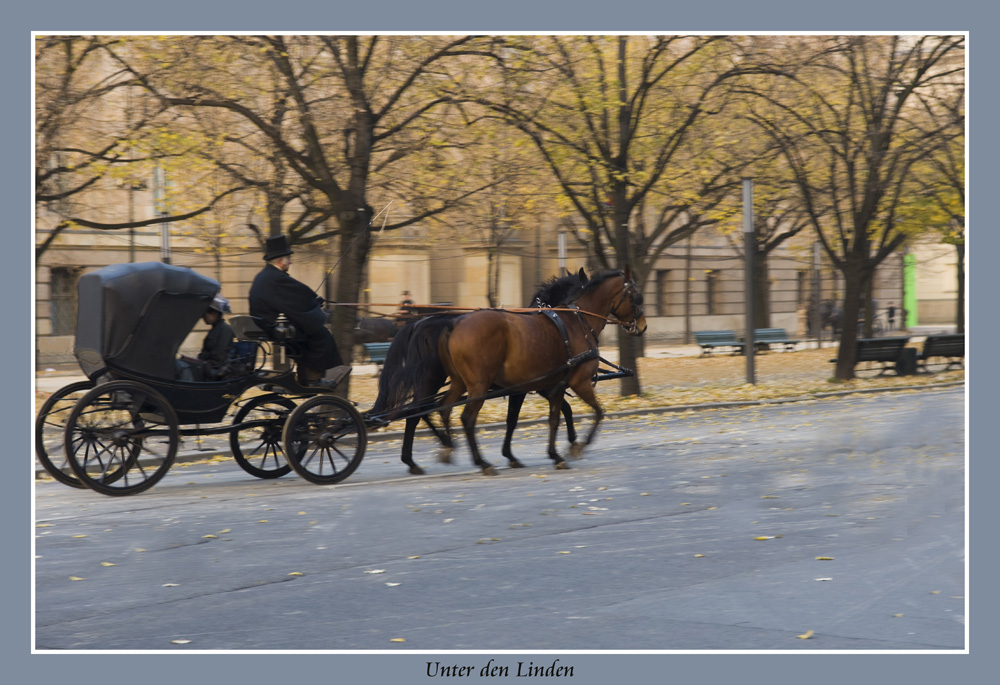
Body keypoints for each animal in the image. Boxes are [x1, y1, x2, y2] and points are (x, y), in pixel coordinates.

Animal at [368, 270, 584, 472]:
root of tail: (419, 324)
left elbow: (540, 413)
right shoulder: (532, 387)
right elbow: (547, 412)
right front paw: (570, 442)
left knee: (423, 410)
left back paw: (432, 450)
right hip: (433, 378)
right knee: (418, 412)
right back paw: (426, 454)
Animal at [440, 268, 644, 476]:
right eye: (635, 296)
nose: (643, 325)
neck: (578, 321)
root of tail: (456, 324)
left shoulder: (553, 386)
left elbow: (553, 417)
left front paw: (555, 454)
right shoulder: (579, 382)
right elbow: (598, 412)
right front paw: (577, 445)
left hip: (460, 382)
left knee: (444, 408)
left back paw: (448, 447)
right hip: (479, 386)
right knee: (467, 418)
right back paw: (481, 462)